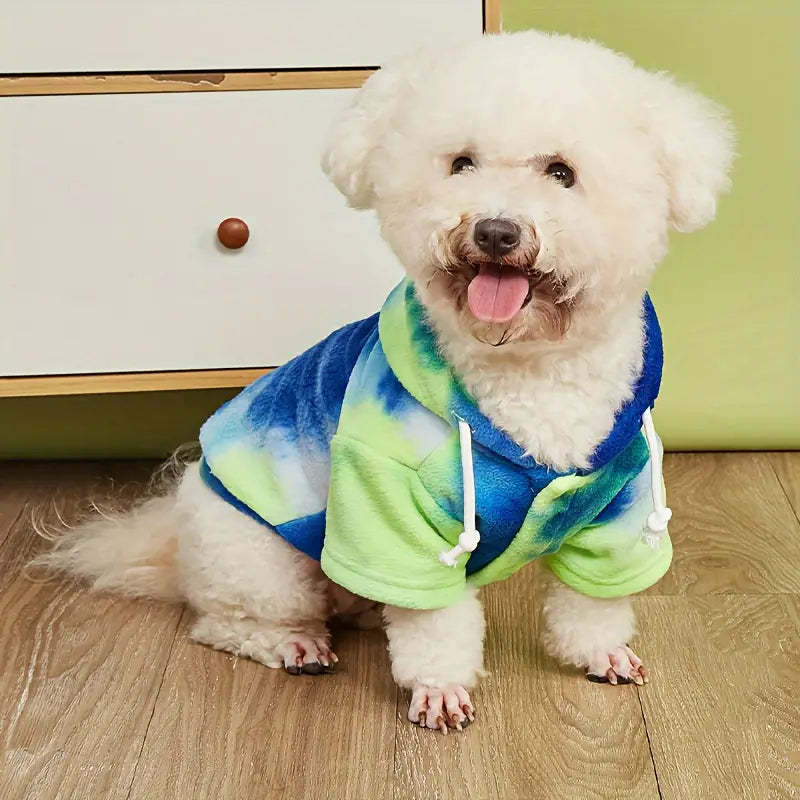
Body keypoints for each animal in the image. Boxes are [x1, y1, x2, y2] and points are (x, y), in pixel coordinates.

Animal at [39, 31, 736, 732]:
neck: (530, 370)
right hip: (260, 559)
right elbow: (435, 622)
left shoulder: (620, 501)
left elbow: (591, 602)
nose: (495, 230)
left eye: (562, 172)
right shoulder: (392, 509)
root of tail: (174, 540)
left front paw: (601, 653)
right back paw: (293, 643)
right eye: (461, 164)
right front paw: (441, 689)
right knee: (225, 622)